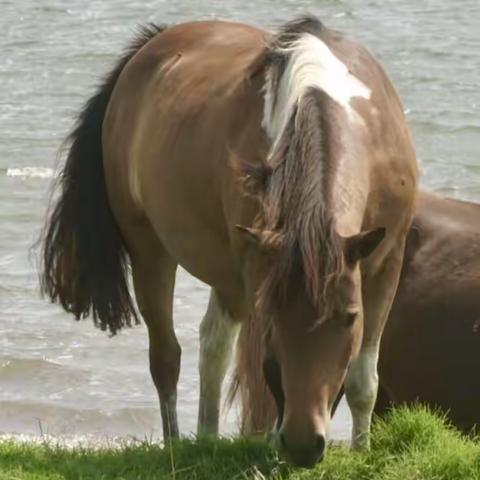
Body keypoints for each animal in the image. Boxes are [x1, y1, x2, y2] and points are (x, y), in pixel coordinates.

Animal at [40, 16, 416, 466]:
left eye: (349, 317)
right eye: (273, 318)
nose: (304, 444)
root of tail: (149, 47)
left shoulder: (385, 263)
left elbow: (362, 379)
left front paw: (361, 451)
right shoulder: (257, 271)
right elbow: (264, 373)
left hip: (227, 277)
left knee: (213, 345)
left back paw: (209, 435)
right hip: (152, 251)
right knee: (167, 357)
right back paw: (176, 442)